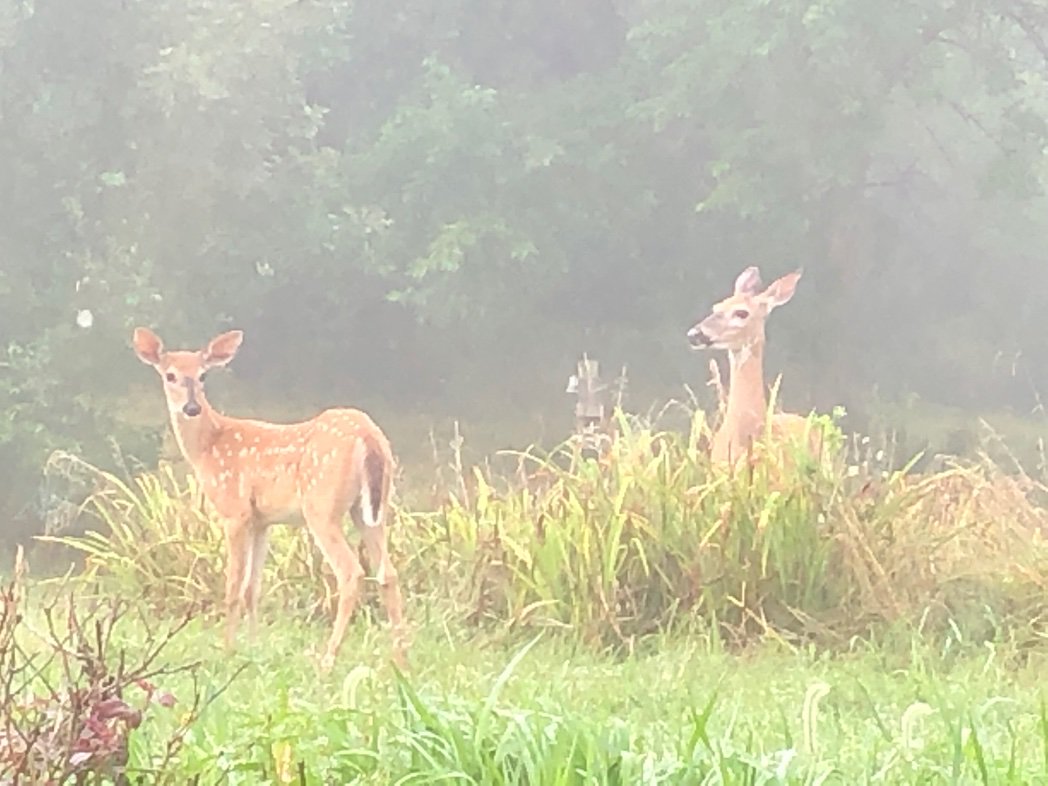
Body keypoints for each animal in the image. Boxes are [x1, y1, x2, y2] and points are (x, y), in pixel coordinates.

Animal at [132, 326, 408, 670]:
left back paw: (328, 660)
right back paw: (401, 659)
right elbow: (253, 588)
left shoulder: (234, 511)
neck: (209, 447)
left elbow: (234, 586)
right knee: (388, 572)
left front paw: (227, 651)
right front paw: (254, 648)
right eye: (170, 375)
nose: (191, 408)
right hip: (371, 507)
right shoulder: (262, 520)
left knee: (351, 572)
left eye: (203, 375)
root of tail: (368, 436)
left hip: (321, 505)